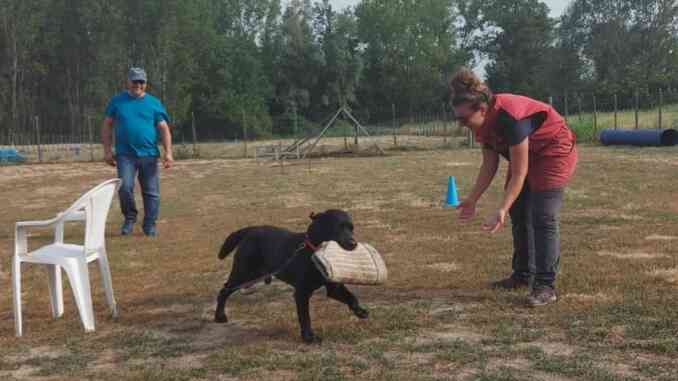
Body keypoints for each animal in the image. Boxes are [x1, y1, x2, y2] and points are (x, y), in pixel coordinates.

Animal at [215, 209, 370, 342]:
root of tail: (251, 230)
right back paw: (219, 316)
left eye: (351, 228)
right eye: (337, 227)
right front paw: (309, 337)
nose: (353, 243)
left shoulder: (334, 288)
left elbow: (352, 297)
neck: (313, 252)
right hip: (243, 274)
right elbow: (305, 317)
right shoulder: (302, 292)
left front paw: (360, 311)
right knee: (224, 291)